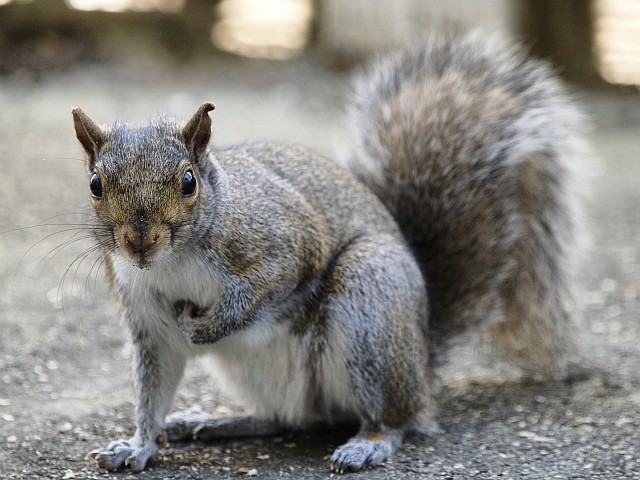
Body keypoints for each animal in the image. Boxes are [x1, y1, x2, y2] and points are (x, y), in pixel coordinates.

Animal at [72, 31, 588, 474]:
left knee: (396, 419)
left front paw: (209, 326)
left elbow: (266, 287)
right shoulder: (145, 313)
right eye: (95, 184)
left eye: (187, 182)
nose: (140, 242)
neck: (173, 261)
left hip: (370, 300)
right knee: (284, 418)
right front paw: (138, 446)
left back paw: (368, 443)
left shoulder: (287, 242)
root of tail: (421, 364)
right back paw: (215, 421)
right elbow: (154, 384)